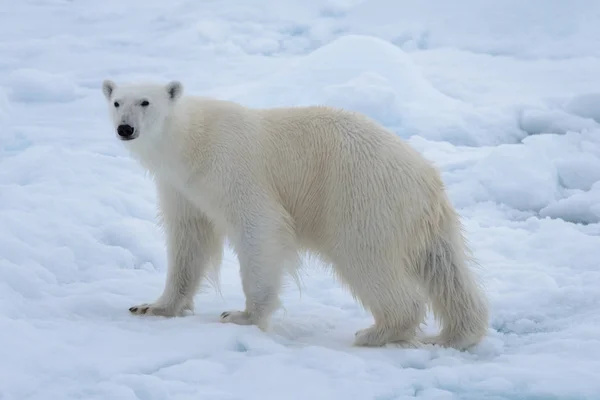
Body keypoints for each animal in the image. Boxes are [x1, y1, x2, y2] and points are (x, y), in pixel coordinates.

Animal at [102, 79, 488, 350]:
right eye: (116, 101)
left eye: (145, 101)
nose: (125, 128)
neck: (191, 141)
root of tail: (427, 179)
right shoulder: (180, 186)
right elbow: (189, 238)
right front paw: (154, 306)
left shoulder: (231, 167)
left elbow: (259, 227)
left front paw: (242, 315)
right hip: (419, 217)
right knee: (445, 268)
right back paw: (455, 335)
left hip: (360, 198)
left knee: (366, 259)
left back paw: (377, 332)